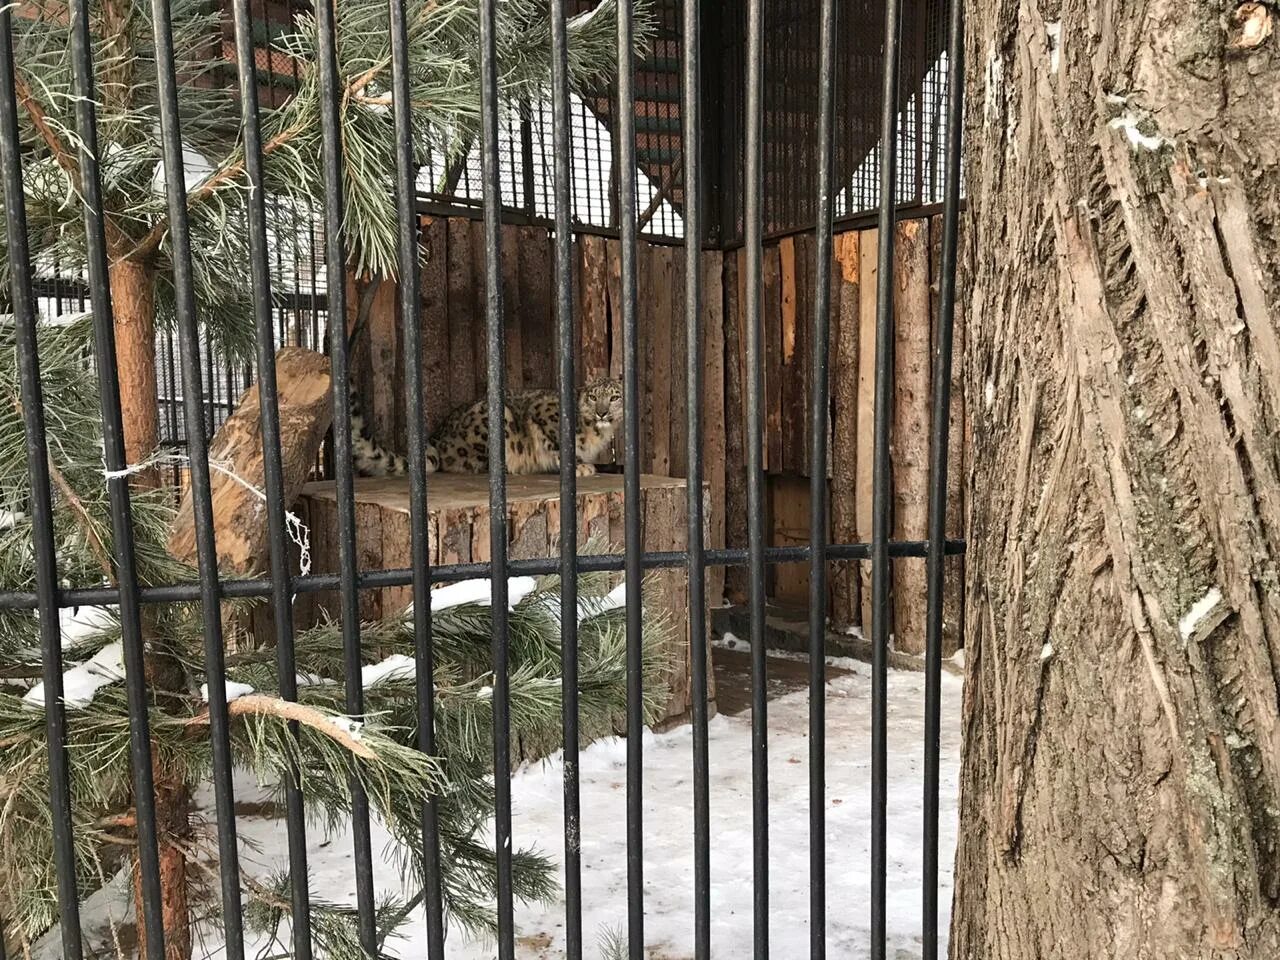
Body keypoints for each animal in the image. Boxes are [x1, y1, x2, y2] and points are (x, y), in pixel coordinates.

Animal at [353, 378, 622, 478]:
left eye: (614, 397)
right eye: (593, 397)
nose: (601, 412)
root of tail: (436, 440)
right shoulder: (545, 413)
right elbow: (558, 442)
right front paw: (581, 466)